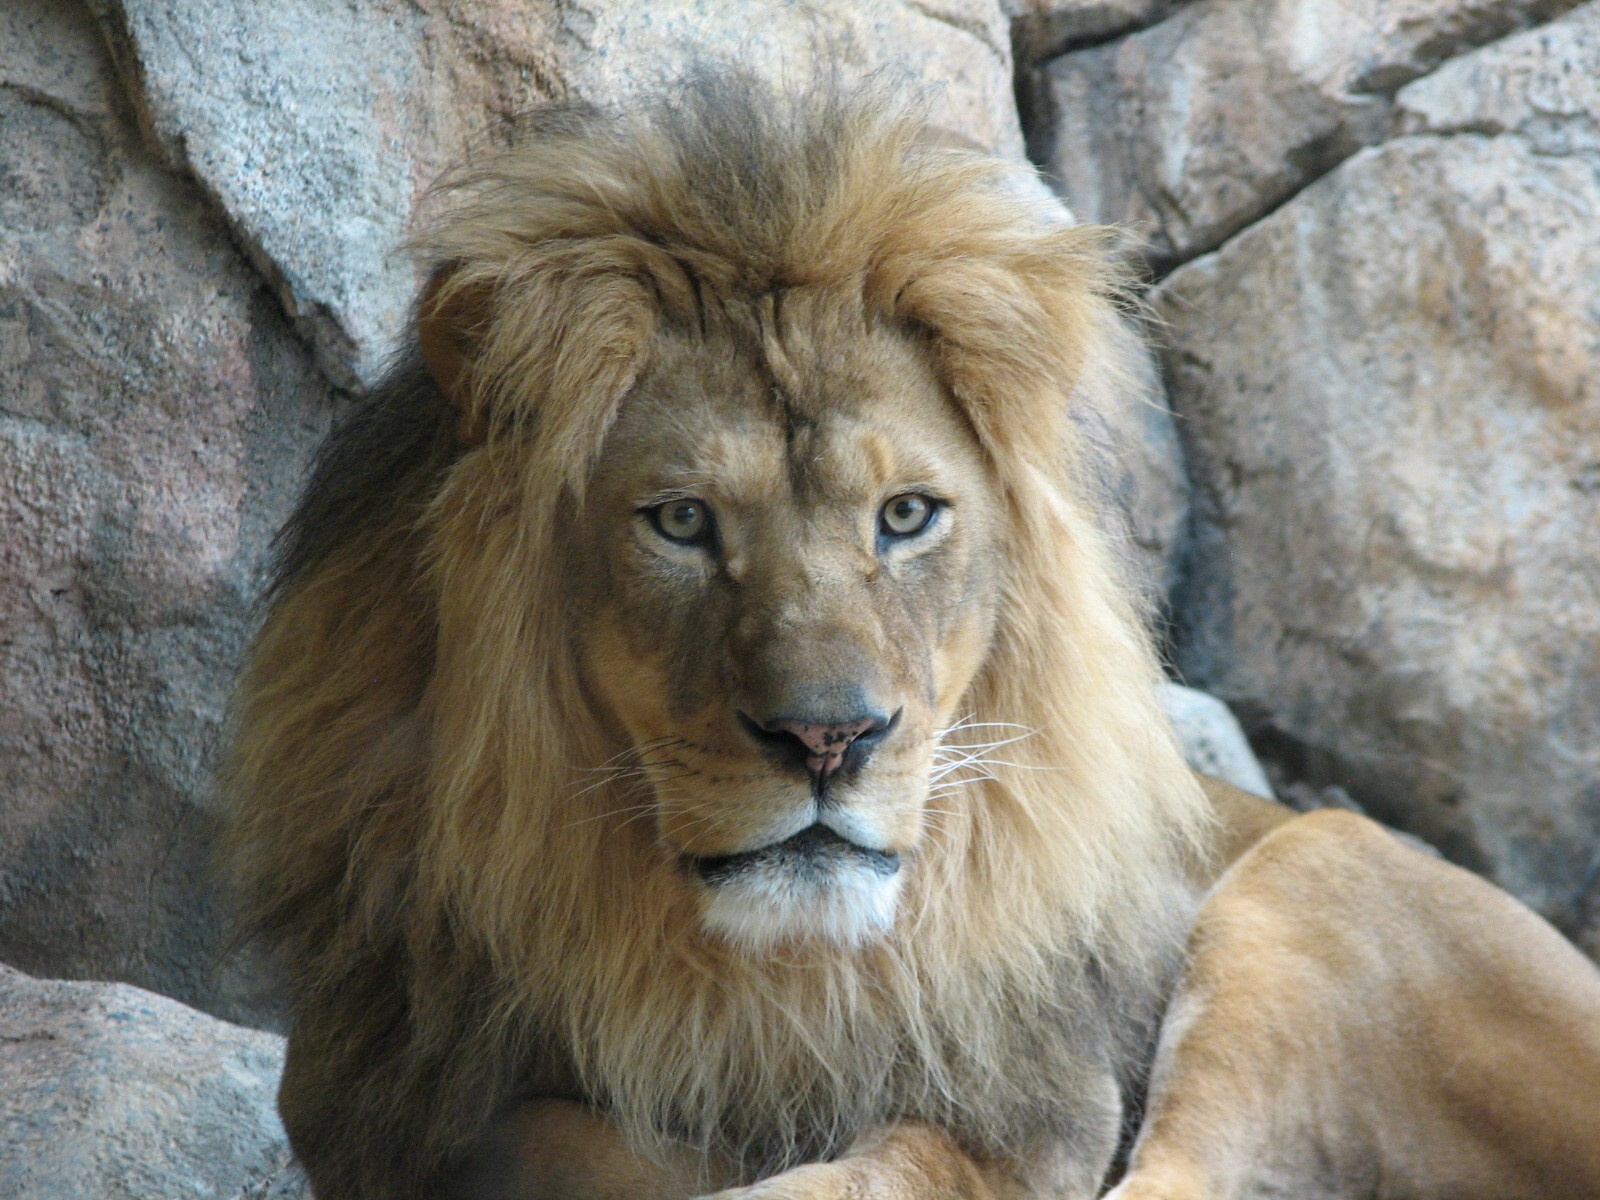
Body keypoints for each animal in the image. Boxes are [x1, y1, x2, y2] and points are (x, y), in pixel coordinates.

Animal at [225, 74, 1600, 1200]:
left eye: (904, 516)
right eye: (681, 521)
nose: (830, 739)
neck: (727, 971)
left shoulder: (1039, 1116)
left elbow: (867, 1167)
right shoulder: (365, 1081)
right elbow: (528, 1134)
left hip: (1322, 869)